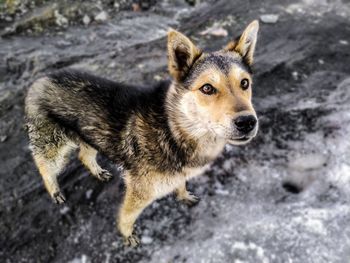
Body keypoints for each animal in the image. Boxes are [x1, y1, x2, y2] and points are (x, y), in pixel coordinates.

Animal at [25, 19, 260, 246]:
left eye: (244, 83)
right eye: (207, 88)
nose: (247, 122)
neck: (173, 128)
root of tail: (40, 79)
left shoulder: (177, 172)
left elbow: (180, 184)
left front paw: (183, 196)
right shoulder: (139, 191)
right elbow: (127, 216)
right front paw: (127, 235)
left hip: (90, 136)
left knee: (84, 155)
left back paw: (98, 172)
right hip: (52, 146)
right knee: (44, 167)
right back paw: (54, 191)